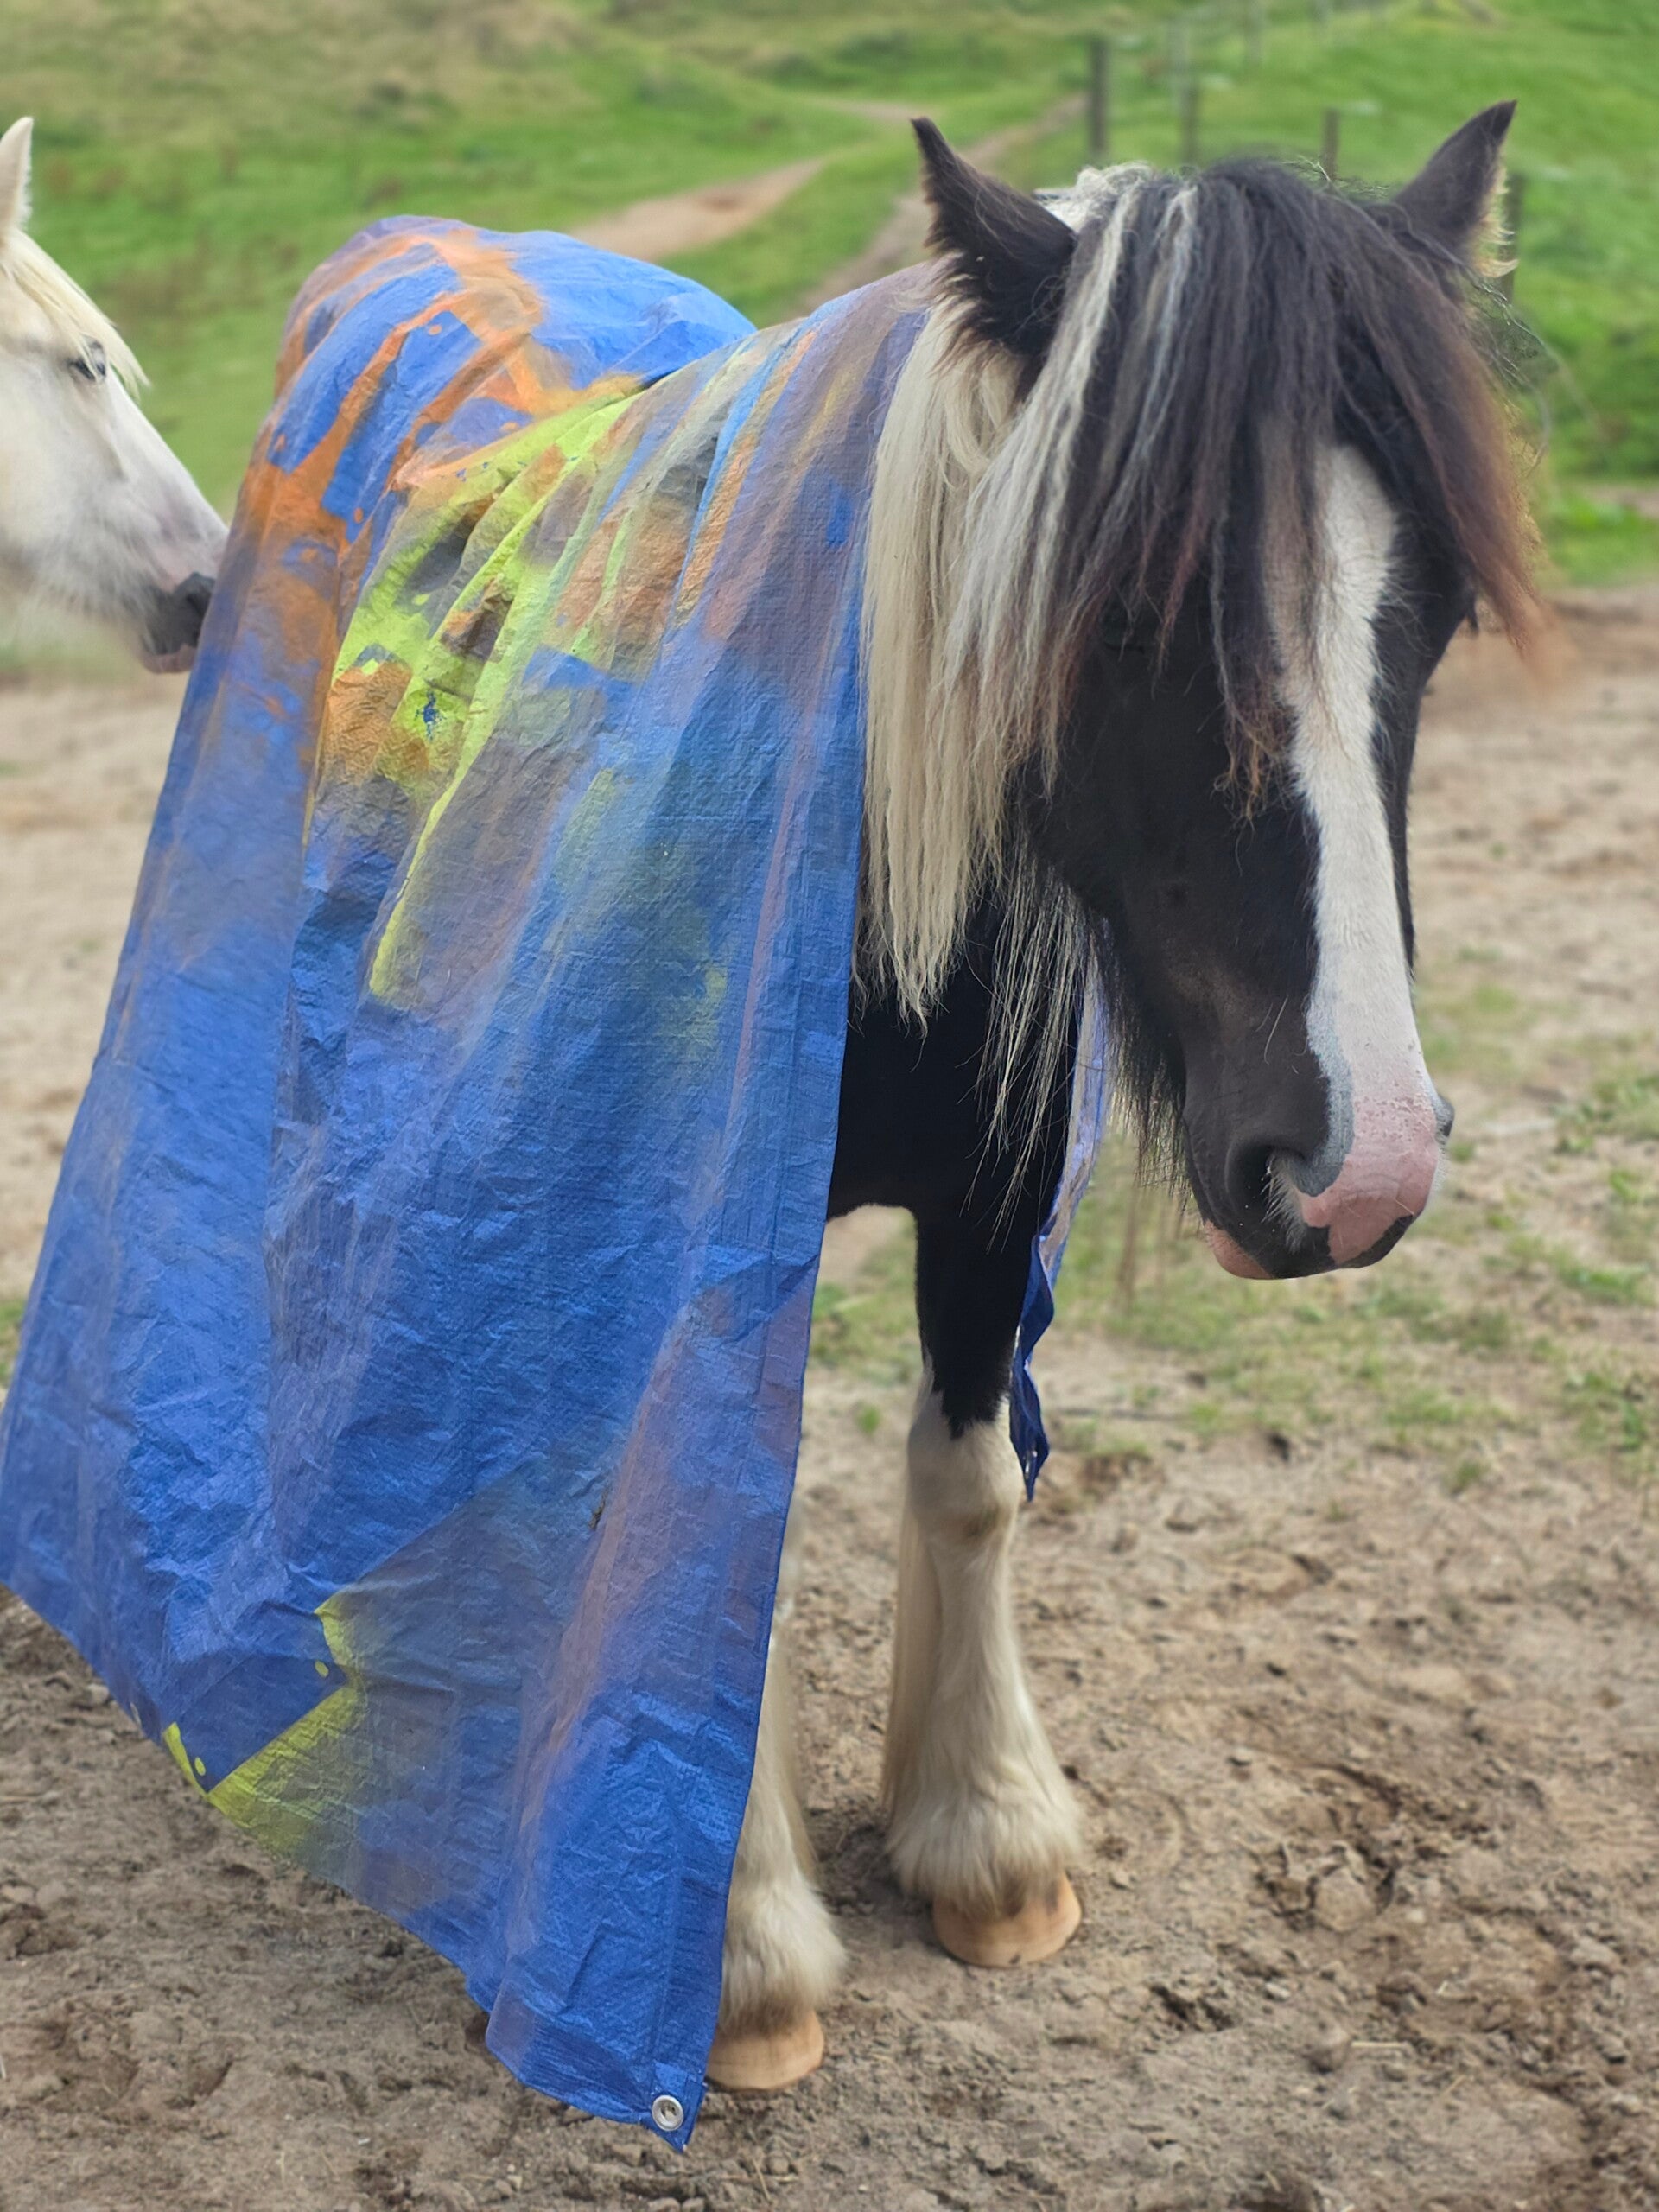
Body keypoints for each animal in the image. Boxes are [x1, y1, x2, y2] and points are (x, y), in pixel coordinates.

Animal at [716, 104, 1534, 2089]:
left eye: (1439, 613)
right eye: (1128, 616)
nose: (1360, 1169)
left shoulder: (993, 1206)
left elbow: (970, 1482)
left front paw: (989, 1839)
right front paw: (748, 1948)